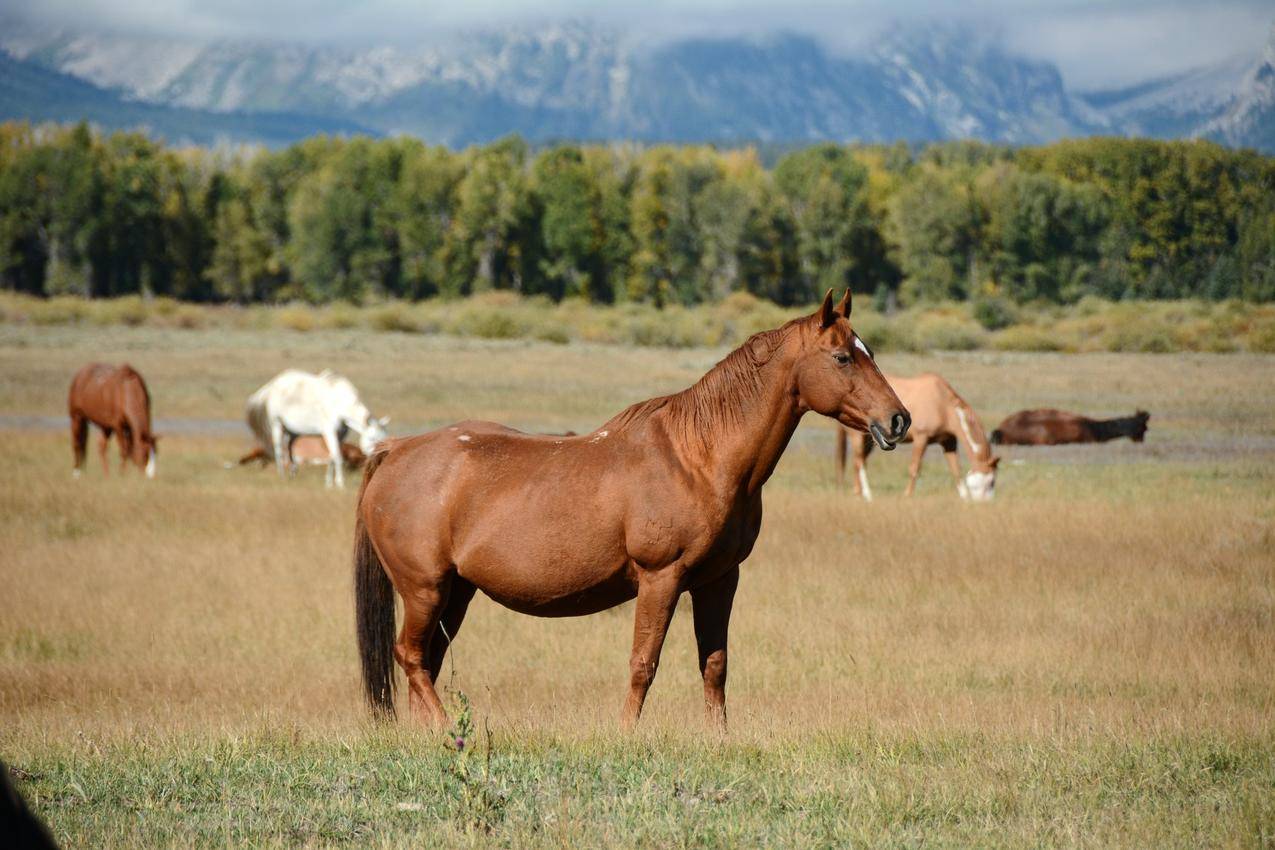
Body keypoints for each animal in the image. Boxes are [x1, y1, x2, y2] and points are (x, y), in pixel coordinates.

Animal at [244, 369, 387, 489]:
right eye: (372, 438)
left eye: (384, 438)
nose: (381, 460)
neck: (339, 402)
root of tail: (270, 387)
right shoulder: (329, 432)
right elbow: (337, 456)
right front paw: (340, 483)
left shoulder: (340, 435)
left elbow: (332, 456)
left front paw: (329, 483)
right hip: (277, 425)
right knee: (279, 449)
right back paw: (282, 476)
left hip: (293, 432)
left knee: (289, 449)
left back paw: (293, 474)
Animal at [354, 293, 912, 734]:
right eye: (842, 357)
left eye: (869, 353)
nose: (898, 420)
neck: (697, 458)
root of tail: (396, 450)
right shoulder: (660, 578)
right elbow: (644, 662)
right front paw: (625, 734)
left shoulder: (720, 580)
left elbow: (715, 664)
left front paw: (719, 739)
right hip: (424, 590)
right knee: (411, 657)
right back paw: (448, 732)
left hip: (456, 593)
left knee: (425, 661)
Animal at [831, 369, 999, 499]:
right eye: (990, 482)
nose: (983, 503)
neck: (942, 404)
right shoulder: (921, 438)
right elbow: (914, 468)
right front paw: (908, 495)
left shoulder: (948, 442)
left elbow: (955, 469)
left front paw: (964, 498)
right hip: (858, 436)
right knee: (859, 461)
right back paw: (867, 494)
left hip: (871, 439)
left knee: (858, 461)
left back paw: (857, 492)